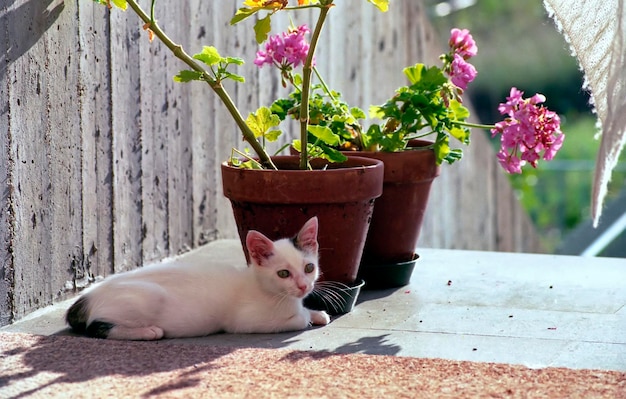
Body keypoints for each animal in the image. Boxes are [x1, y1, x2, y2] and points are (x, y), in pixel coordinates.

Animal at [67, 217, 332, 342]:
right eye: (283, 273)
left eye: (309, 267)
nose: (303, 286)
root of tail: (87, 297)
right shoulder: (245, 320)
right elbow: (298, 319)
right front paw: (308, 316)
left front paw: (317, 313)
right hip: (149, 297)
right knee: (95, 327)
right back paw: (148, 332)